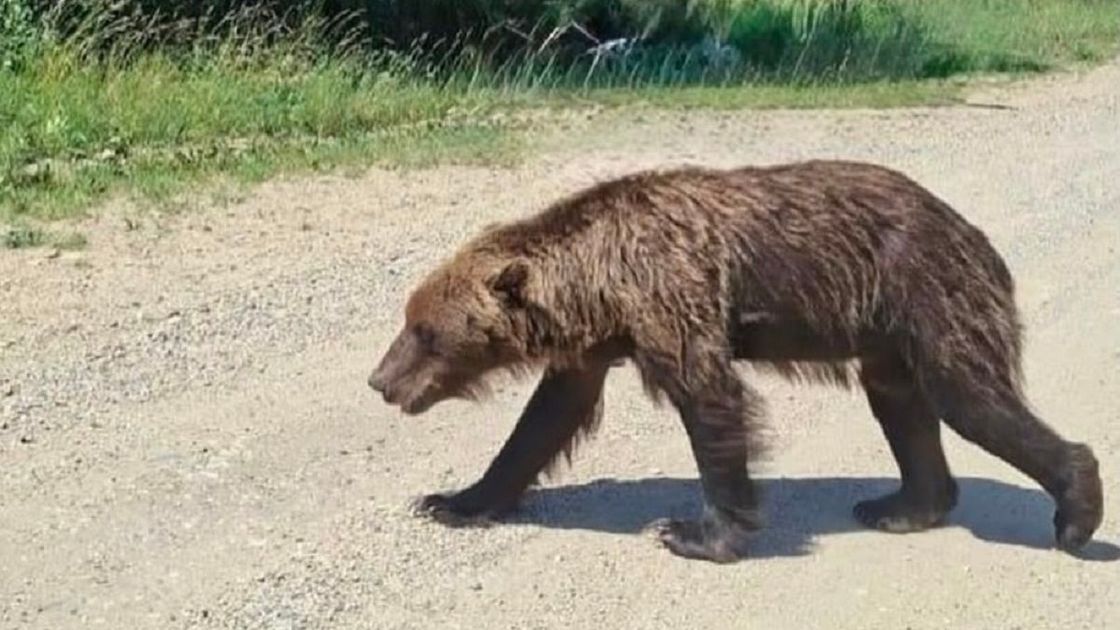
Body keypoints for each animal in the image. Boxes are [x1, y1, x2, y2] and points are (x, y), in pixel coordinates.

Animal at [367, 159, 1103, 563]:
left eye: (426, 331)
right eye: (409, 320)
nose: (380, 380)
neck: (600, 284)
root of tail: (976, 234)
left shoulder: (673, 298)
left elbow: (711, 403)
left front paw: (696, 532)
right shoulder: (592, 348)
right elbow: (543, 421)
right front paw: (454, 500)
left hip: (928, 294)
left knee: (972, 397)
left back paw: (1075, 512)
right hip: (887, 335)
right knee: (903, 405)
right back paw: (900, 505)